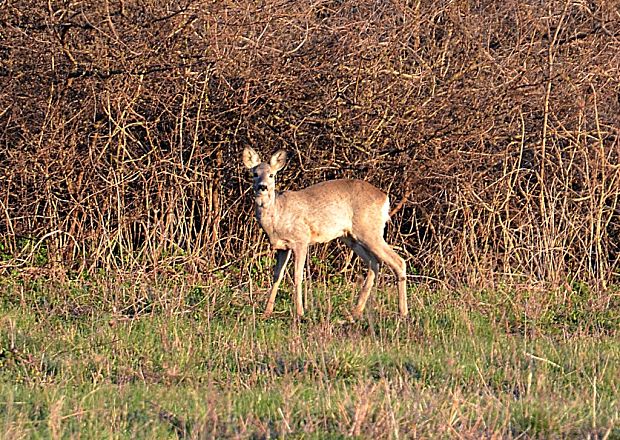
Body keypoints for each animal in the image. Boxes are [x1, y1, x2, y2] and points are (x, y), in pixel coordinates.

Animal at [242, 146, 406, 318]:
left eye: (271, 175)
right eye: (255, 174)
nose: (262, 186)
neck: (277, 217)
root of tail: (385, 198)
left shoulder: (301, 239)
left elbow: (297, 276)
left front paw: (300, 312)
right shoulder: (282, 247)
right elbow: (277, 276)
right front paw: (267, 312)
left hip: (369, 230)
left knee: (398, 261)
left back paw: (403, 312)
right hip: (351, 237)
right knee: (374, 263)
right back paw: (356, 310)